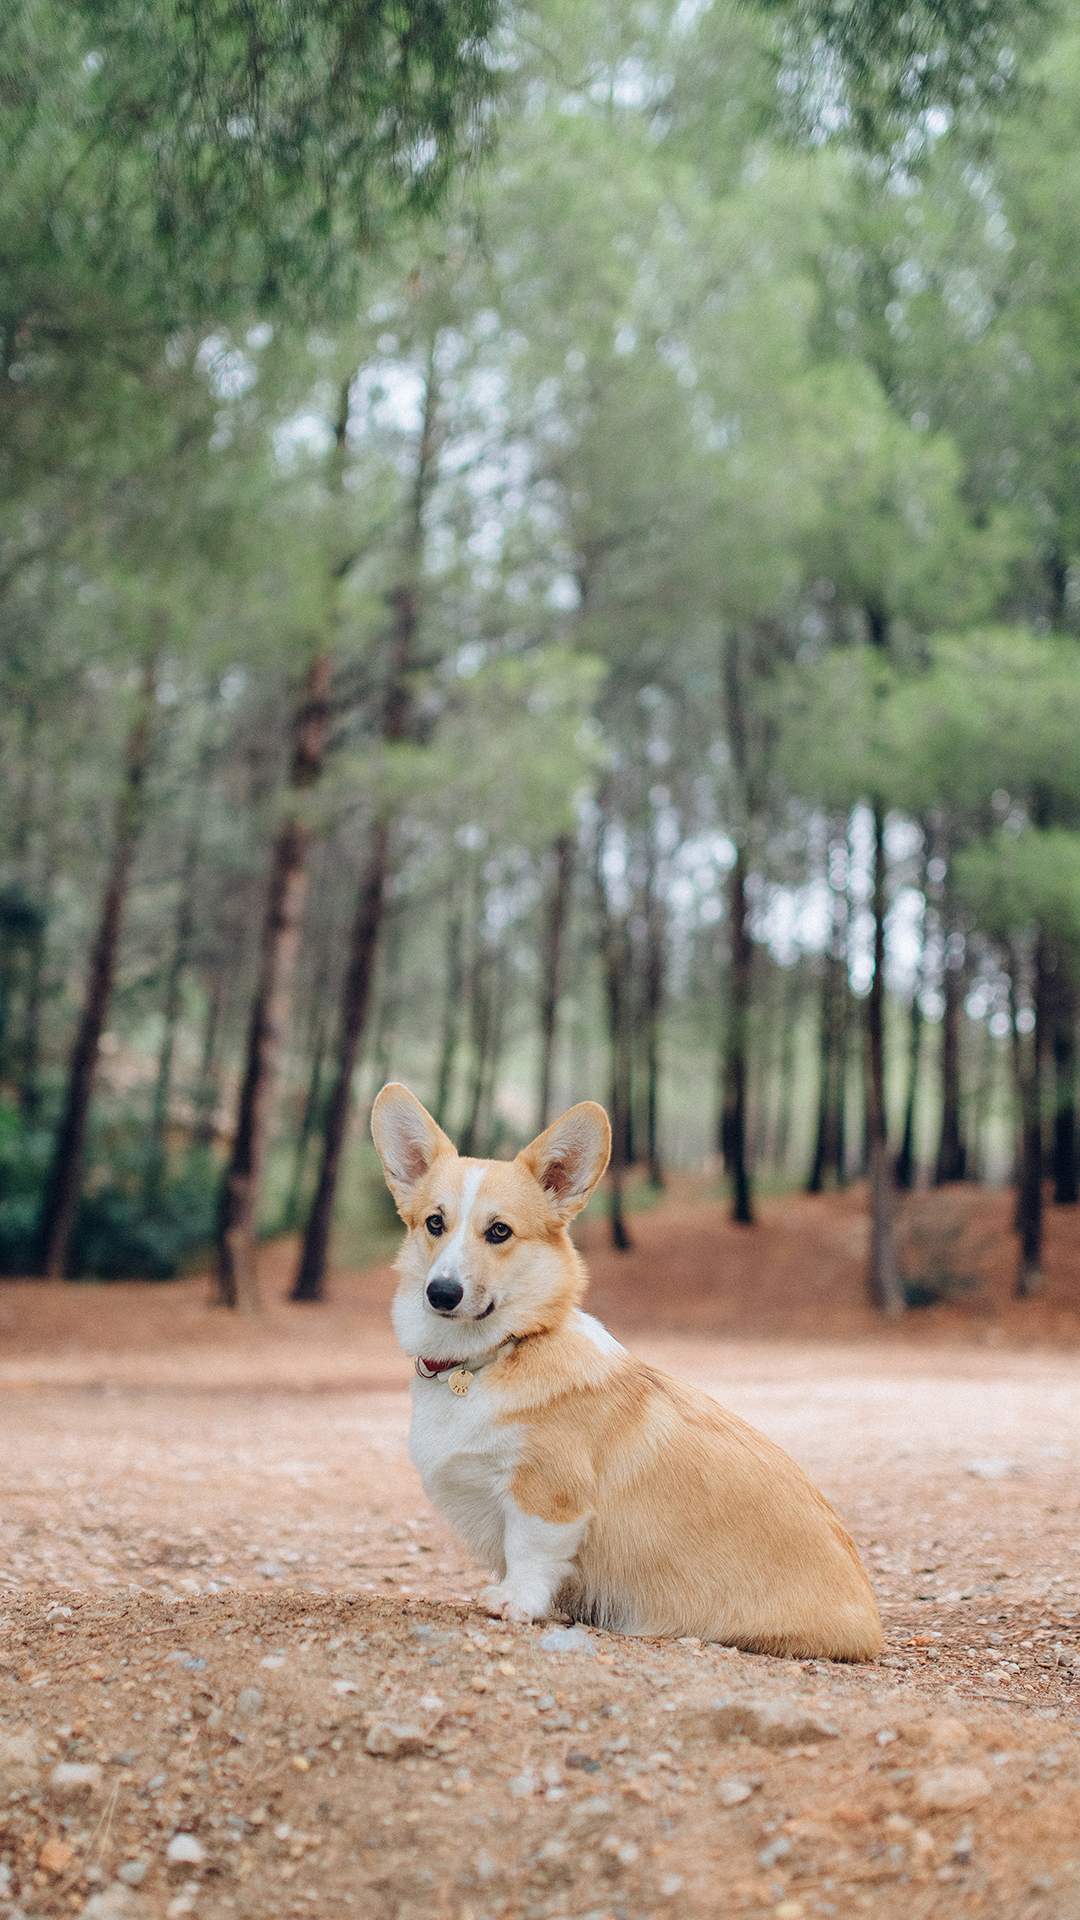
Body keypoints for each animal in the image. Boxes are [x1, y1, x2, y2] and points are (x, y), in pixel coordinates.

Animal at [374, 1090, 880, 1658]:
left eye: (499, 1231)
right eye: (434, 1224)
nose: (441, 1293)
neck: (494, 1355)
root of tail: (872, 1629)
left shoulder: (548, 1494)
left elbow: (528, 1551)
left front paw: (514, 1602)